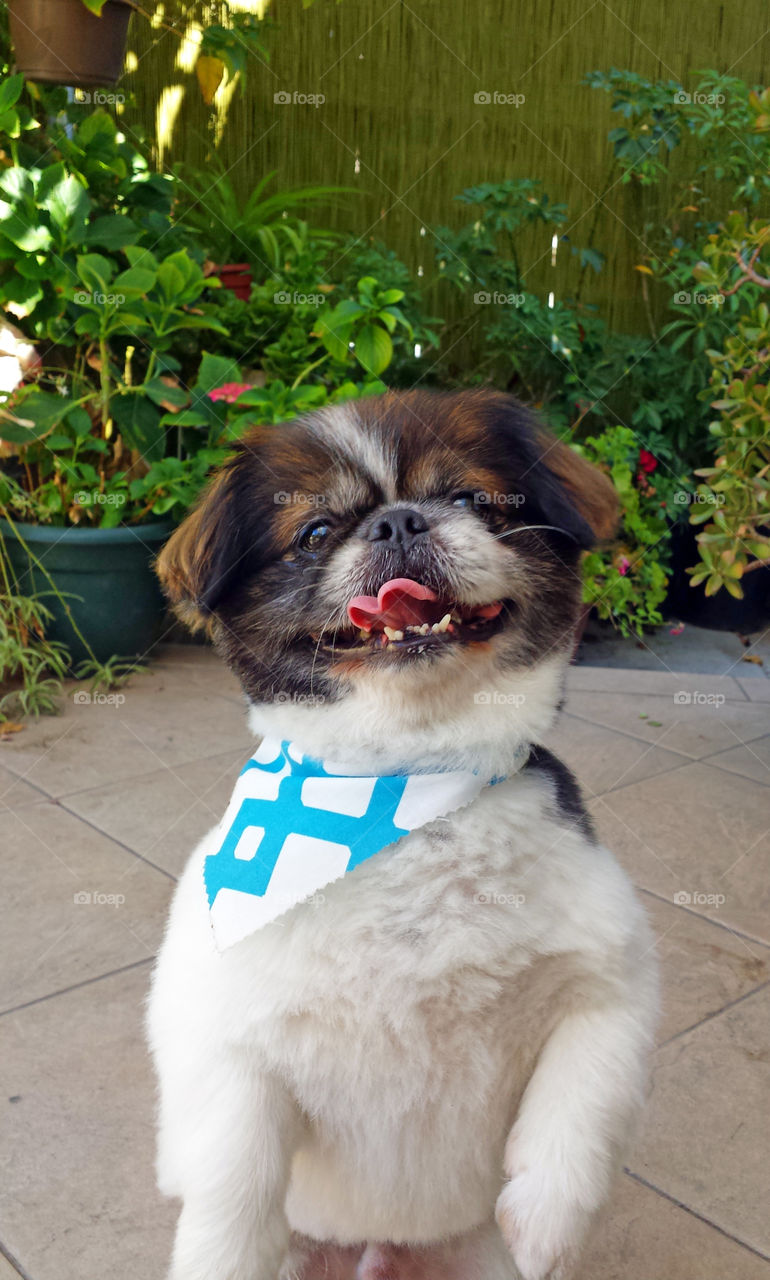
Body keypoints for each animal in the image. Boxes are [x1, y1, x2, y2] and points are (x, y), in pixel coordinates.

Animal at [147, 389, 654, 1280]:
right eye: (317, 533)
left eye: (471, 499)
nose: (397, 523)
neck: (407, 785)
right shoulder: (226, 1039)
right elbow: (232, 1180)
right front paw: (222, 1251)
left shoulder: (614, 984)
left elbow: (583, 1102)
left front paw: (547, 1218)